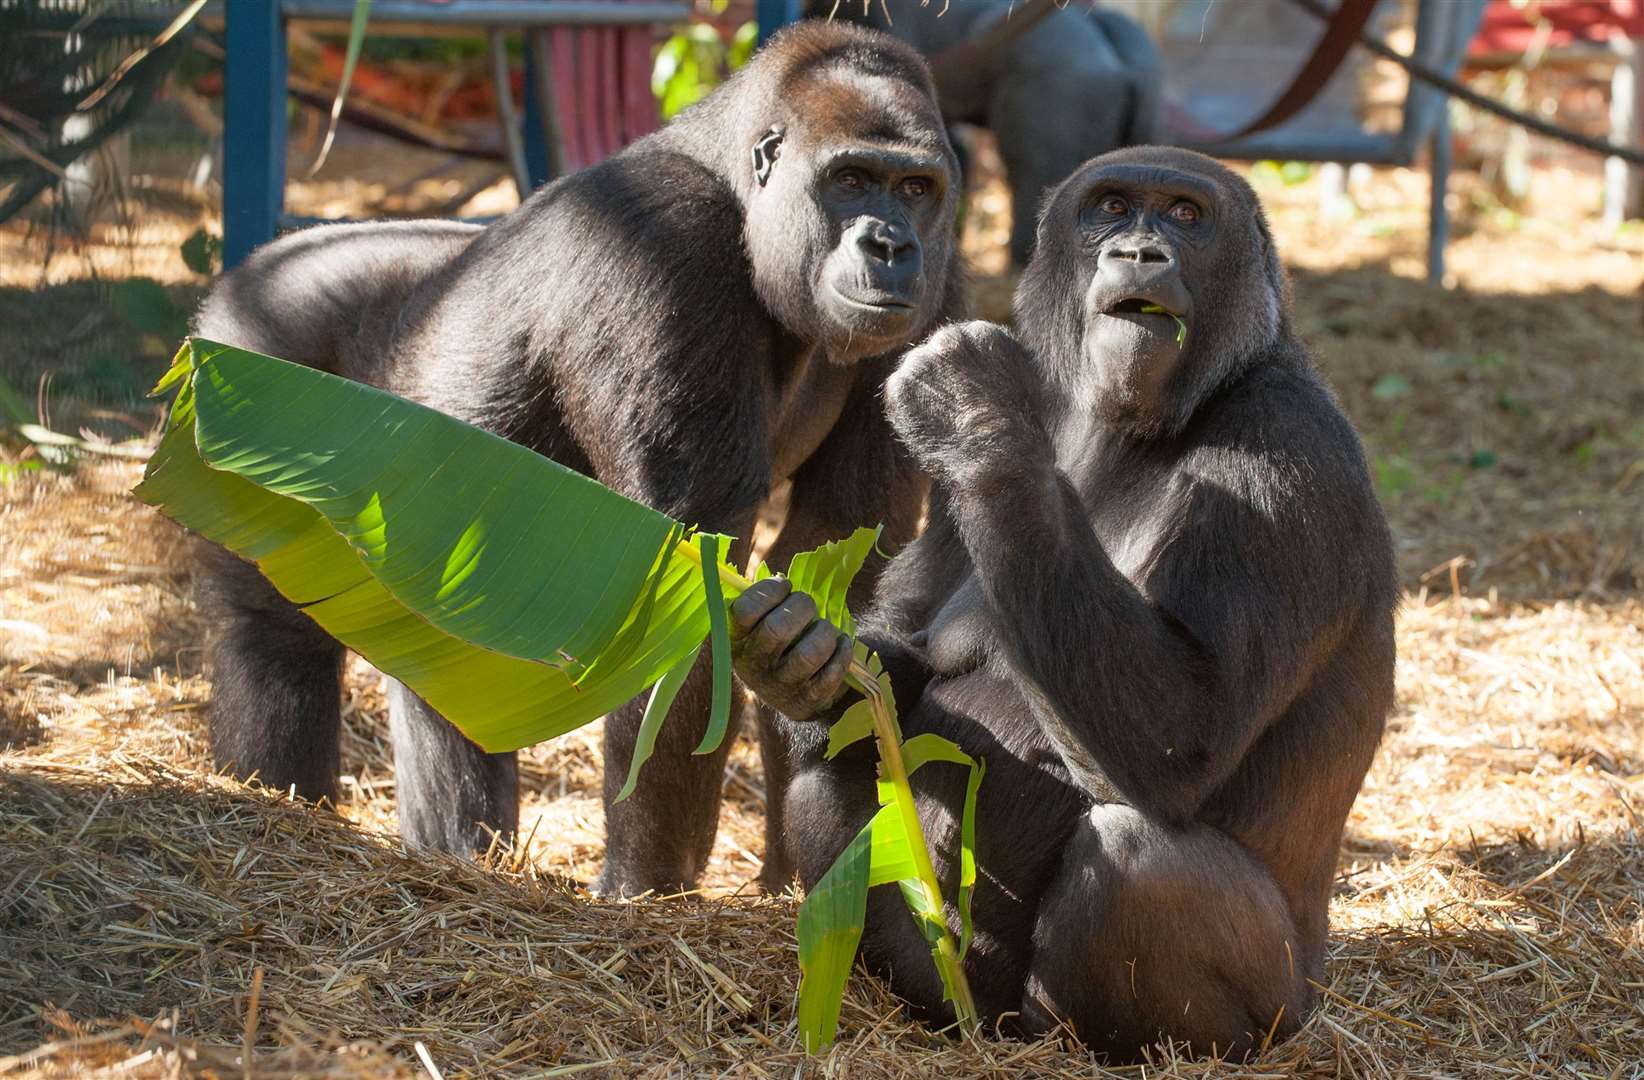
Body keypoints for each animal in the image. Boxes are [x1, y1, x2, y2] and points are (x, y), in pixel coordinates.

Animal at [190, 21, 960, 894]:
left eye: (916, 189)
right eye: (852, 179)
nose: (892, 244)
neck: (734, 186)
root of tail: (262, 263)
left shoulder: (940, 288)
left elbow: (837, 546)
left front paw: (807, 690)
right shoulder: (668, 242)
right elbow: (689, 584)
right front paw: (644, 890)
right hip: (257, 347)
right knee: (273, 633)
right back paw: (286, 807)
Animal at [739, 147, 1394, 1058]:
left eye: (1186, 216)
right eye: (1110, 208)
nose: (1140, 252)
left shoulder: (1289, 449)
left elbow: (1183, 730)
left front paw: (973, 405)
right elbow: (895, 656)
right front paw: (797, 655)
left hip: (1278, 1014)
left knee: (1141, 862)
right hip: (956, 985)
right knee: (835, 766)